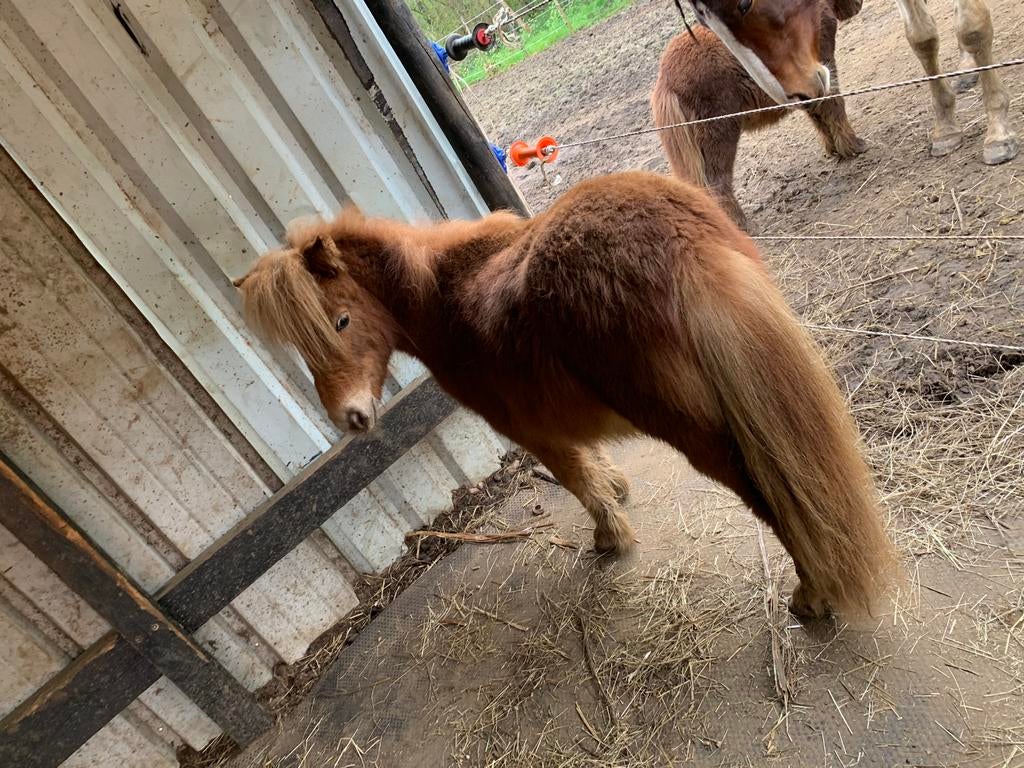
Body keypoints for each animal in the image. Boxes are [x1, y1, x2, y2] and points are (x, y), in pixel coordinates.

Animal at [234, 171, 896, 618]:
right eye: (304, 345)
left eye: (340, 322)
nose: (350, 417)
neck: (443, 295)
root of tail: (680, 240)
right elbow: (591, 460)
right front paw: (618, 486)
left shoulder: (531, 431)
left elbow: (575, 479)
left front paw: (610, 536)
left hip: (696, 431)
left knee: (769, 489)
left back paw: (812, 593)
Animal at [652, 0, 866, 230]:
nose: (856, 7)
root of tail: (665, 80)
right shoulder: (822, 63)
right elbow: (834, 106)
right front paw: (853, 146)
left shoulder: (806, 87)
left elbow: (819, 116)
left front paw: (834, 149)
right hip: (718, 135)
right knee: (717, 184)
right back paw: (738, 224)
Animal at [686, 0, 1017, 164]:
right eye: (704, 22)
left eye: (744, 3)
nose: (797, 94)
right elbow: (921, 36)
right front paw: (946, 128)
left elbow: (972, 27)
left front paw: (998, 133)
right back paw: (966, 68)